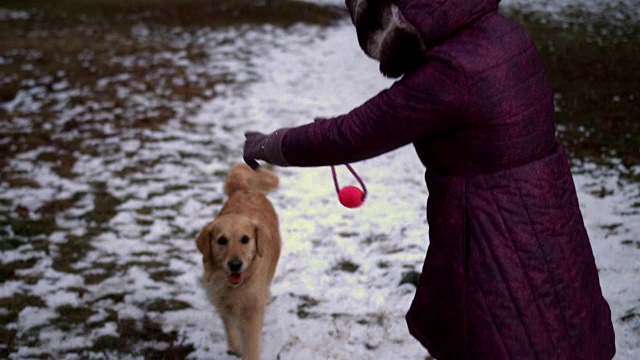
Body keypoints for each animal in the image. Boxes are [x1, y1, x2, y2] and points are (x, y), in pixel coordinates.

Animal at [198, 164, 280, 360]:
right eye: (222, 240)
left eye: (245, 239)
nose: (235, 265)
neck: (235, 287)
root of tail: (245, 189)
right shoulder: (222, 302)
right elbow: (230, 329)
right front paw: (235, 347)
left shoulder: (252, 311)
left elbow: (251, 344)